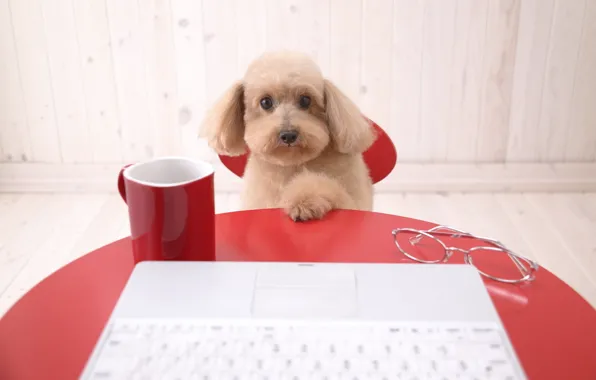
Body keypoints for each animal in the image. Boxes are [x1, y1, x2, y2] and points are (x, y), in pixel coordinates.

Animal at [203, 52, 374, 221]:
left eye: (305, 100)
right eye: (266, 102)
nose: (288, 135)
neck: (293, 165)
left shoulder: (352, 201)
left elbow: (323, 184)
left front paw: (304, 201)